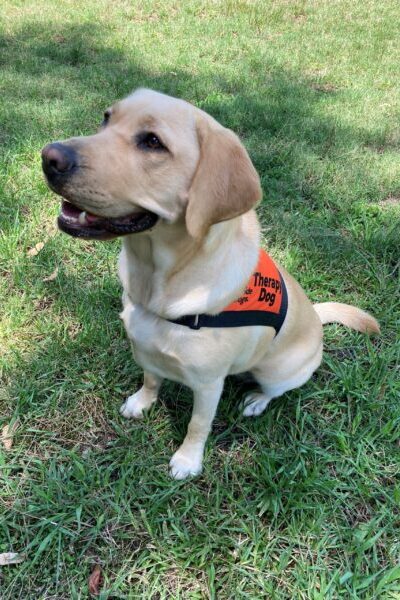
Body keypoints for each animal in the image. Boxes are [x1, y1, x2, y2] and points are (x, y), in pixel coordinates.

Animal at [42, 89, 380, 480]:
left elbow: (198, 424)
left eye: (153, 142)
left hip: (278, 370)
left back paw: (256, 400)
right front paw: (141, 402)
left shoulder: (208, 384)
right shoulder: (146, 350)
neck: (158, 281)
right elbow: (151, 379)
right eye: (106, 118)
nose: (49, 157)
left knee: (274, 390)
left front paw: (188, 460)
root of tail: (314, 313)